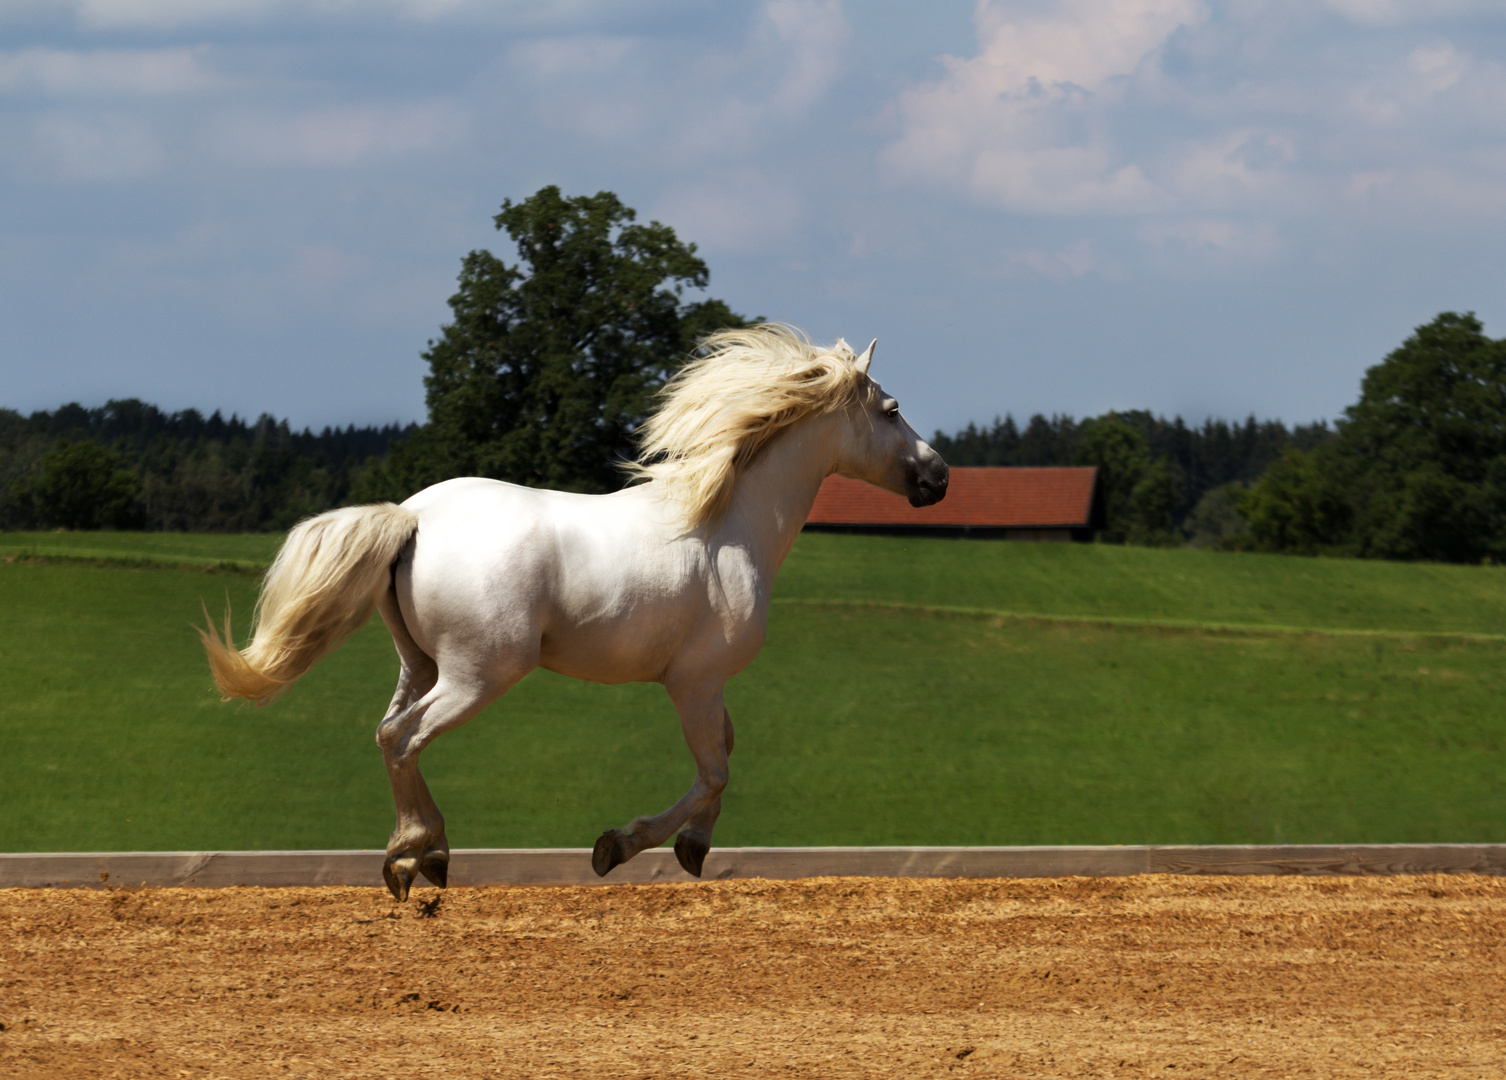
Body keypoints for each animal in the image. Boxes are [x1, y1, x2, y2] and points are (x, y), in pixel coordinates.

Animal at [204, 323, 945, 897]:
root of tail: (412, 517)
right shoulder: (695, 681)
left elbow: (725, 754)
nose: (937, 476)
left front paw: (693, 846)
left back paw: (419, 858)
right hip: (479, 674)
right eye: (890, 409)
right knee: (408, 738)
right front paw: (624, 845)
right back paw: (419, 854)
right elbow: (715, 769)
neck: (731, 526)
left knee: (389, 736)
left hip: (419, 664)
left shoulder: (702, 685)